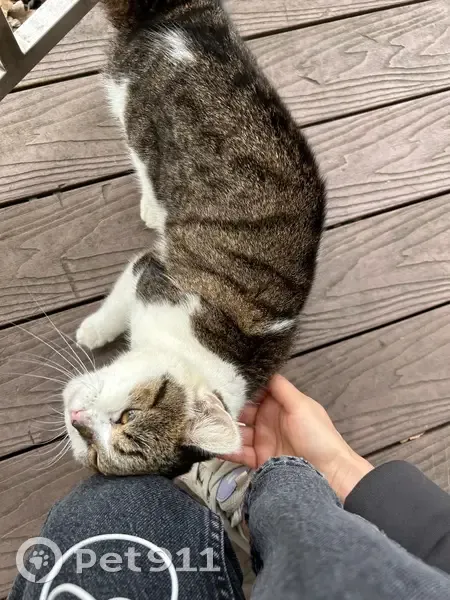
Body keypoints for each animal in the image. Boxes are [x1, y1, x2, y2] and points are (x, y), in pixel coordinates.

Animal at [63, 0, 326, 478]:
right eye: (128, 414)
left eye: (96, 450)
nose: (77, 421)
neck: (194, 355)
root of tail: (184, 18)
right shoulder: (155, 275)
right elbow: (120, 298)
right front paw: (95, 329)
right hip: (138, 117)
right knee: (142, 158)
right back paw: (154, 205)